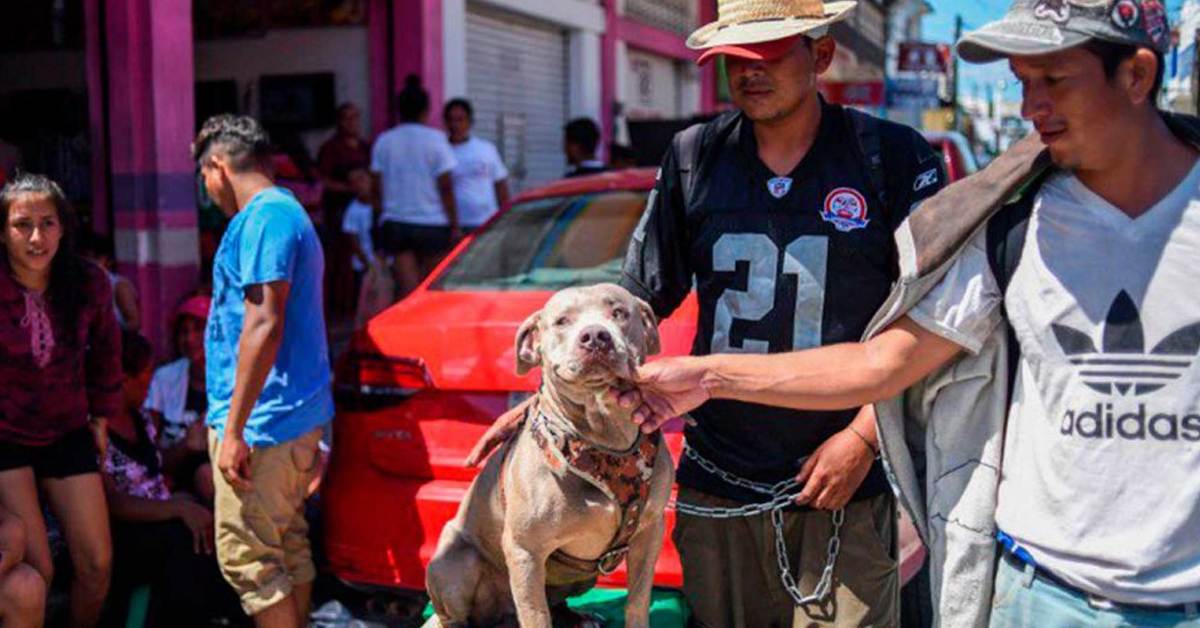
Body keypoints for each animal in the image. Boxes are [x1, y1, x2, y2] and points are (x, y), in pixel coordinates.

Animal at [427, 283, 676, 628]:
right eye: (562, 321)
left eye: (619, 313)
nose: (595, 336)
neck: (603, 437)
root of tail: (499, 616)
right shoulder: (525, 551)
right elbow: (536, 615)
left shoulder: (649, 532)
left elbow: (638, 600)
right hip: (453, 561)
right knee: (456, 614)